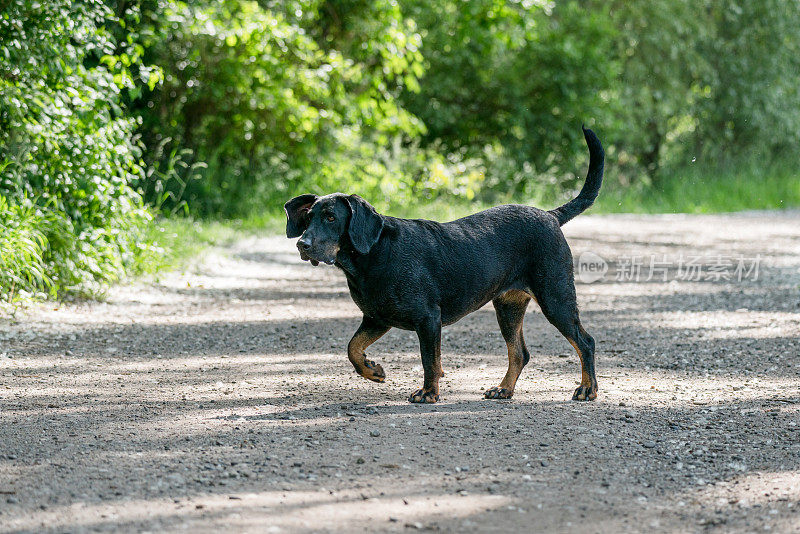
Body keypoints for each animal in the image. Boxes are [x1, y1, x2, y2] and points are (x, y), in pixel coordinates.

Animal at [284, 126, 604, 406]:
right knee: (520, 353)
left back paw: (587, 389)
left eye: (330, 218)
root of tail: (551, 215)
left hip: (555, 297)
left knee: (585, 342)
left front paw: (428, 393)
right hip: (509, 307)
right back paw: (503, 389)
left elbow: (430, 361)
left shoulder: (428, 318)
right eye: (308, 217)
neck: (374, 255)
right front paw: (373, 370)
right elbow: (353, 347)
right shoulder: (377, 318)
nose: (302, 244)